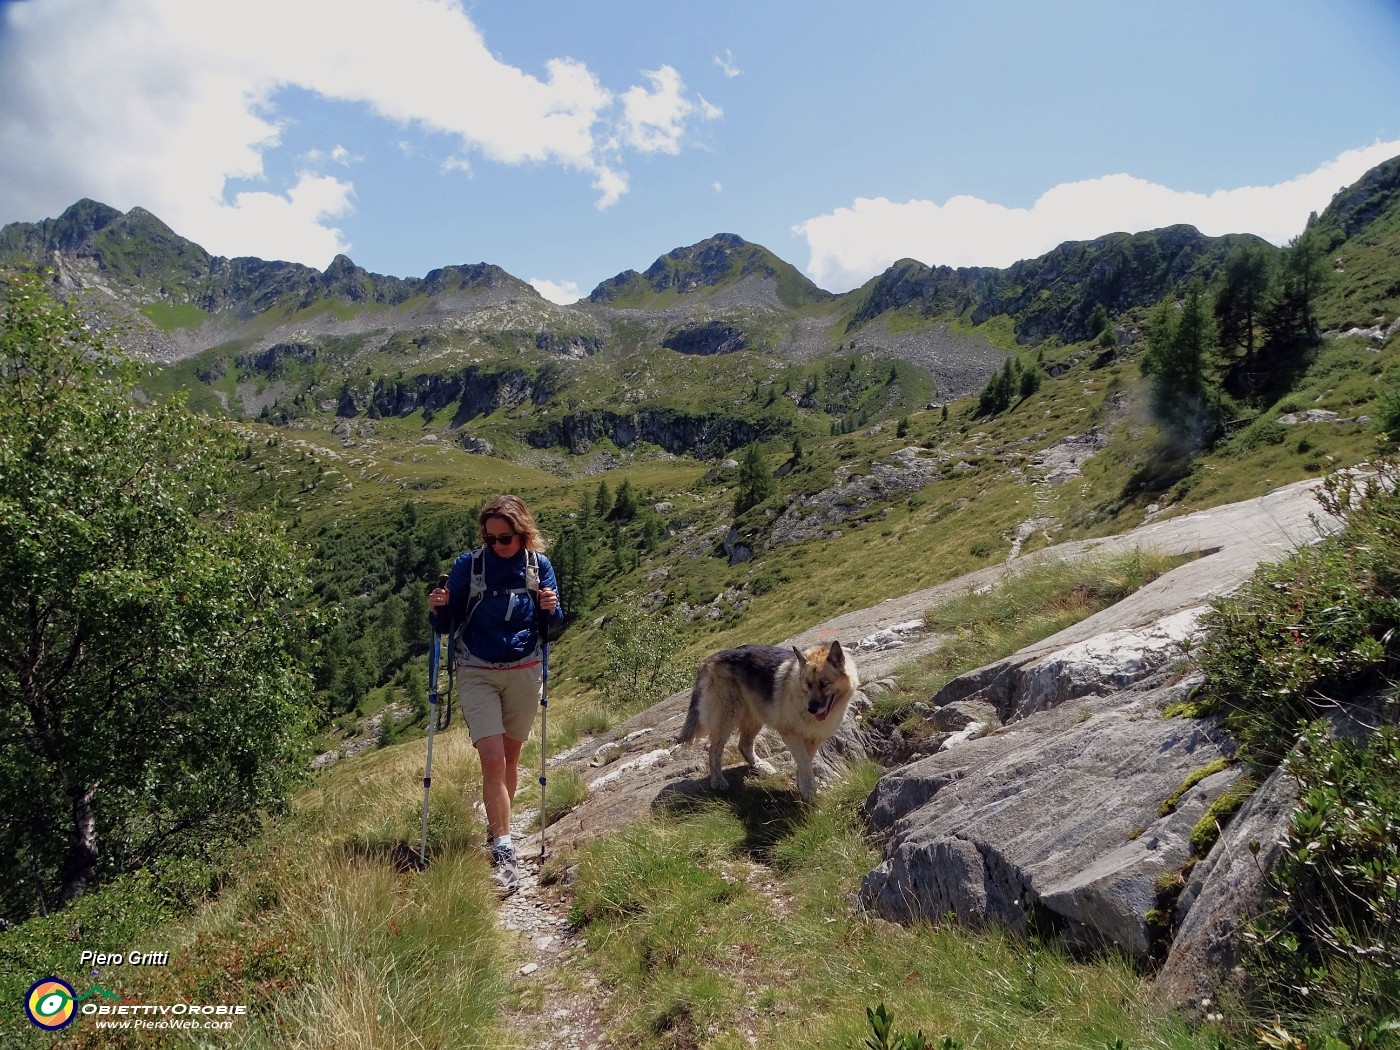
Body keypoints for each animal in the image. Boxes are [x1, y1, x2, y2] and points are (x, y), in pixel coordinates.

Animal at [674, 638, 856, 800]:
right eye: (808, 684)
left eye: (824, 684)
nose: (812, 709)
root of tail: (710, 659)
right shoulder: (790, 734)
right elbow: (804, 762)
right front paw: (808, 790)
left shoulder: (814, 738)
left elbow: (805, 761)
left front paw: (802, 783)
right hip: (727, 718)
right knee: (714, 751)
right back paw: (718, 780)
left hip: (755, 717)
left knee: (743, 745)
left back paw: (760, 766)